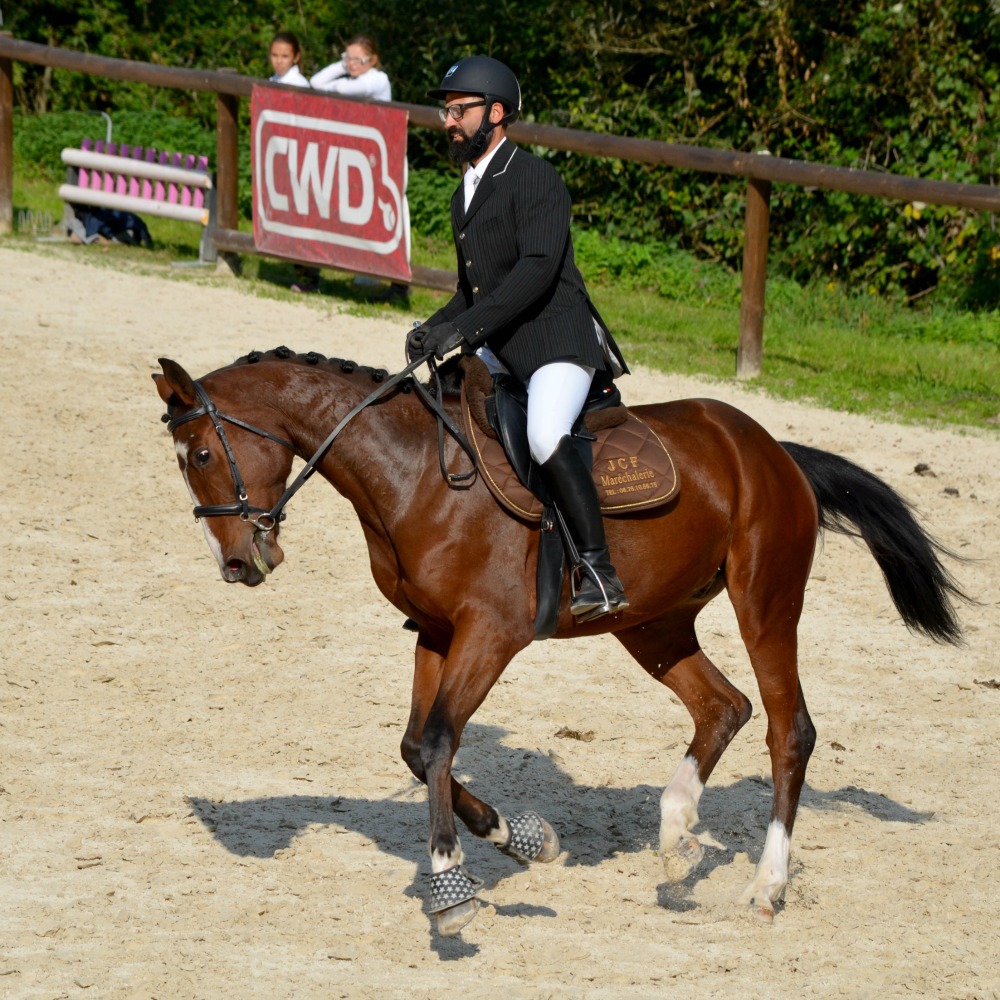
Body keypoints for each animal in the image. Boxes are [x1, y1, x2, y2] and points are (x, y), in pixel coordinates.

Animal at [152, 348, 964, 932]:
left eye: (202, 456)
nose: (236, 564)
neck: (411, 473)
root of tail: (774, 451)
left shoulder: (491, 632)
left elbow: (440, 740)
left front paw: (450, 889)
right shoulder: (437, 630)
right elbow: (417, 748)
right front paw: (521, 837)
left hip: (764, 602)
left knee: (787, 728)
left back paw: (766, 886)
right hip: (652, 622)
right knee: (722, 706)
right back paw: (676, 835)